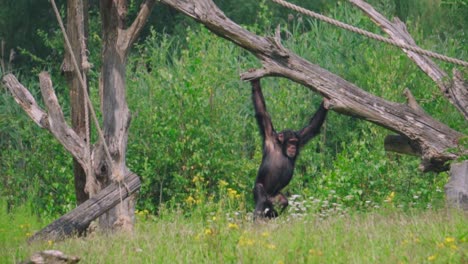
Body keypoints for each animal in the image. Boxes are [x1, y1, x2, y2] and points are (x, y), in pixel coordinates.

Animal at [250, 79, 328, 220]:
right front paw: (255, 82)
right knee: (261, 198)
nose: (293, 147)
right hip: (259, 189)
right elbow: (261, 110)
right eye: (291, 141)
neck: (281, 148)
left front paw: (326, 102)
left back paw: (272, 214)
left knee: (282, 202)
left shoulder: (301, 137)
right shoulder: (269, 134)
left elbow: (312, 127)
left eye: (295, 142)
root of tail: (270, 197)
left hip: (275, 197)